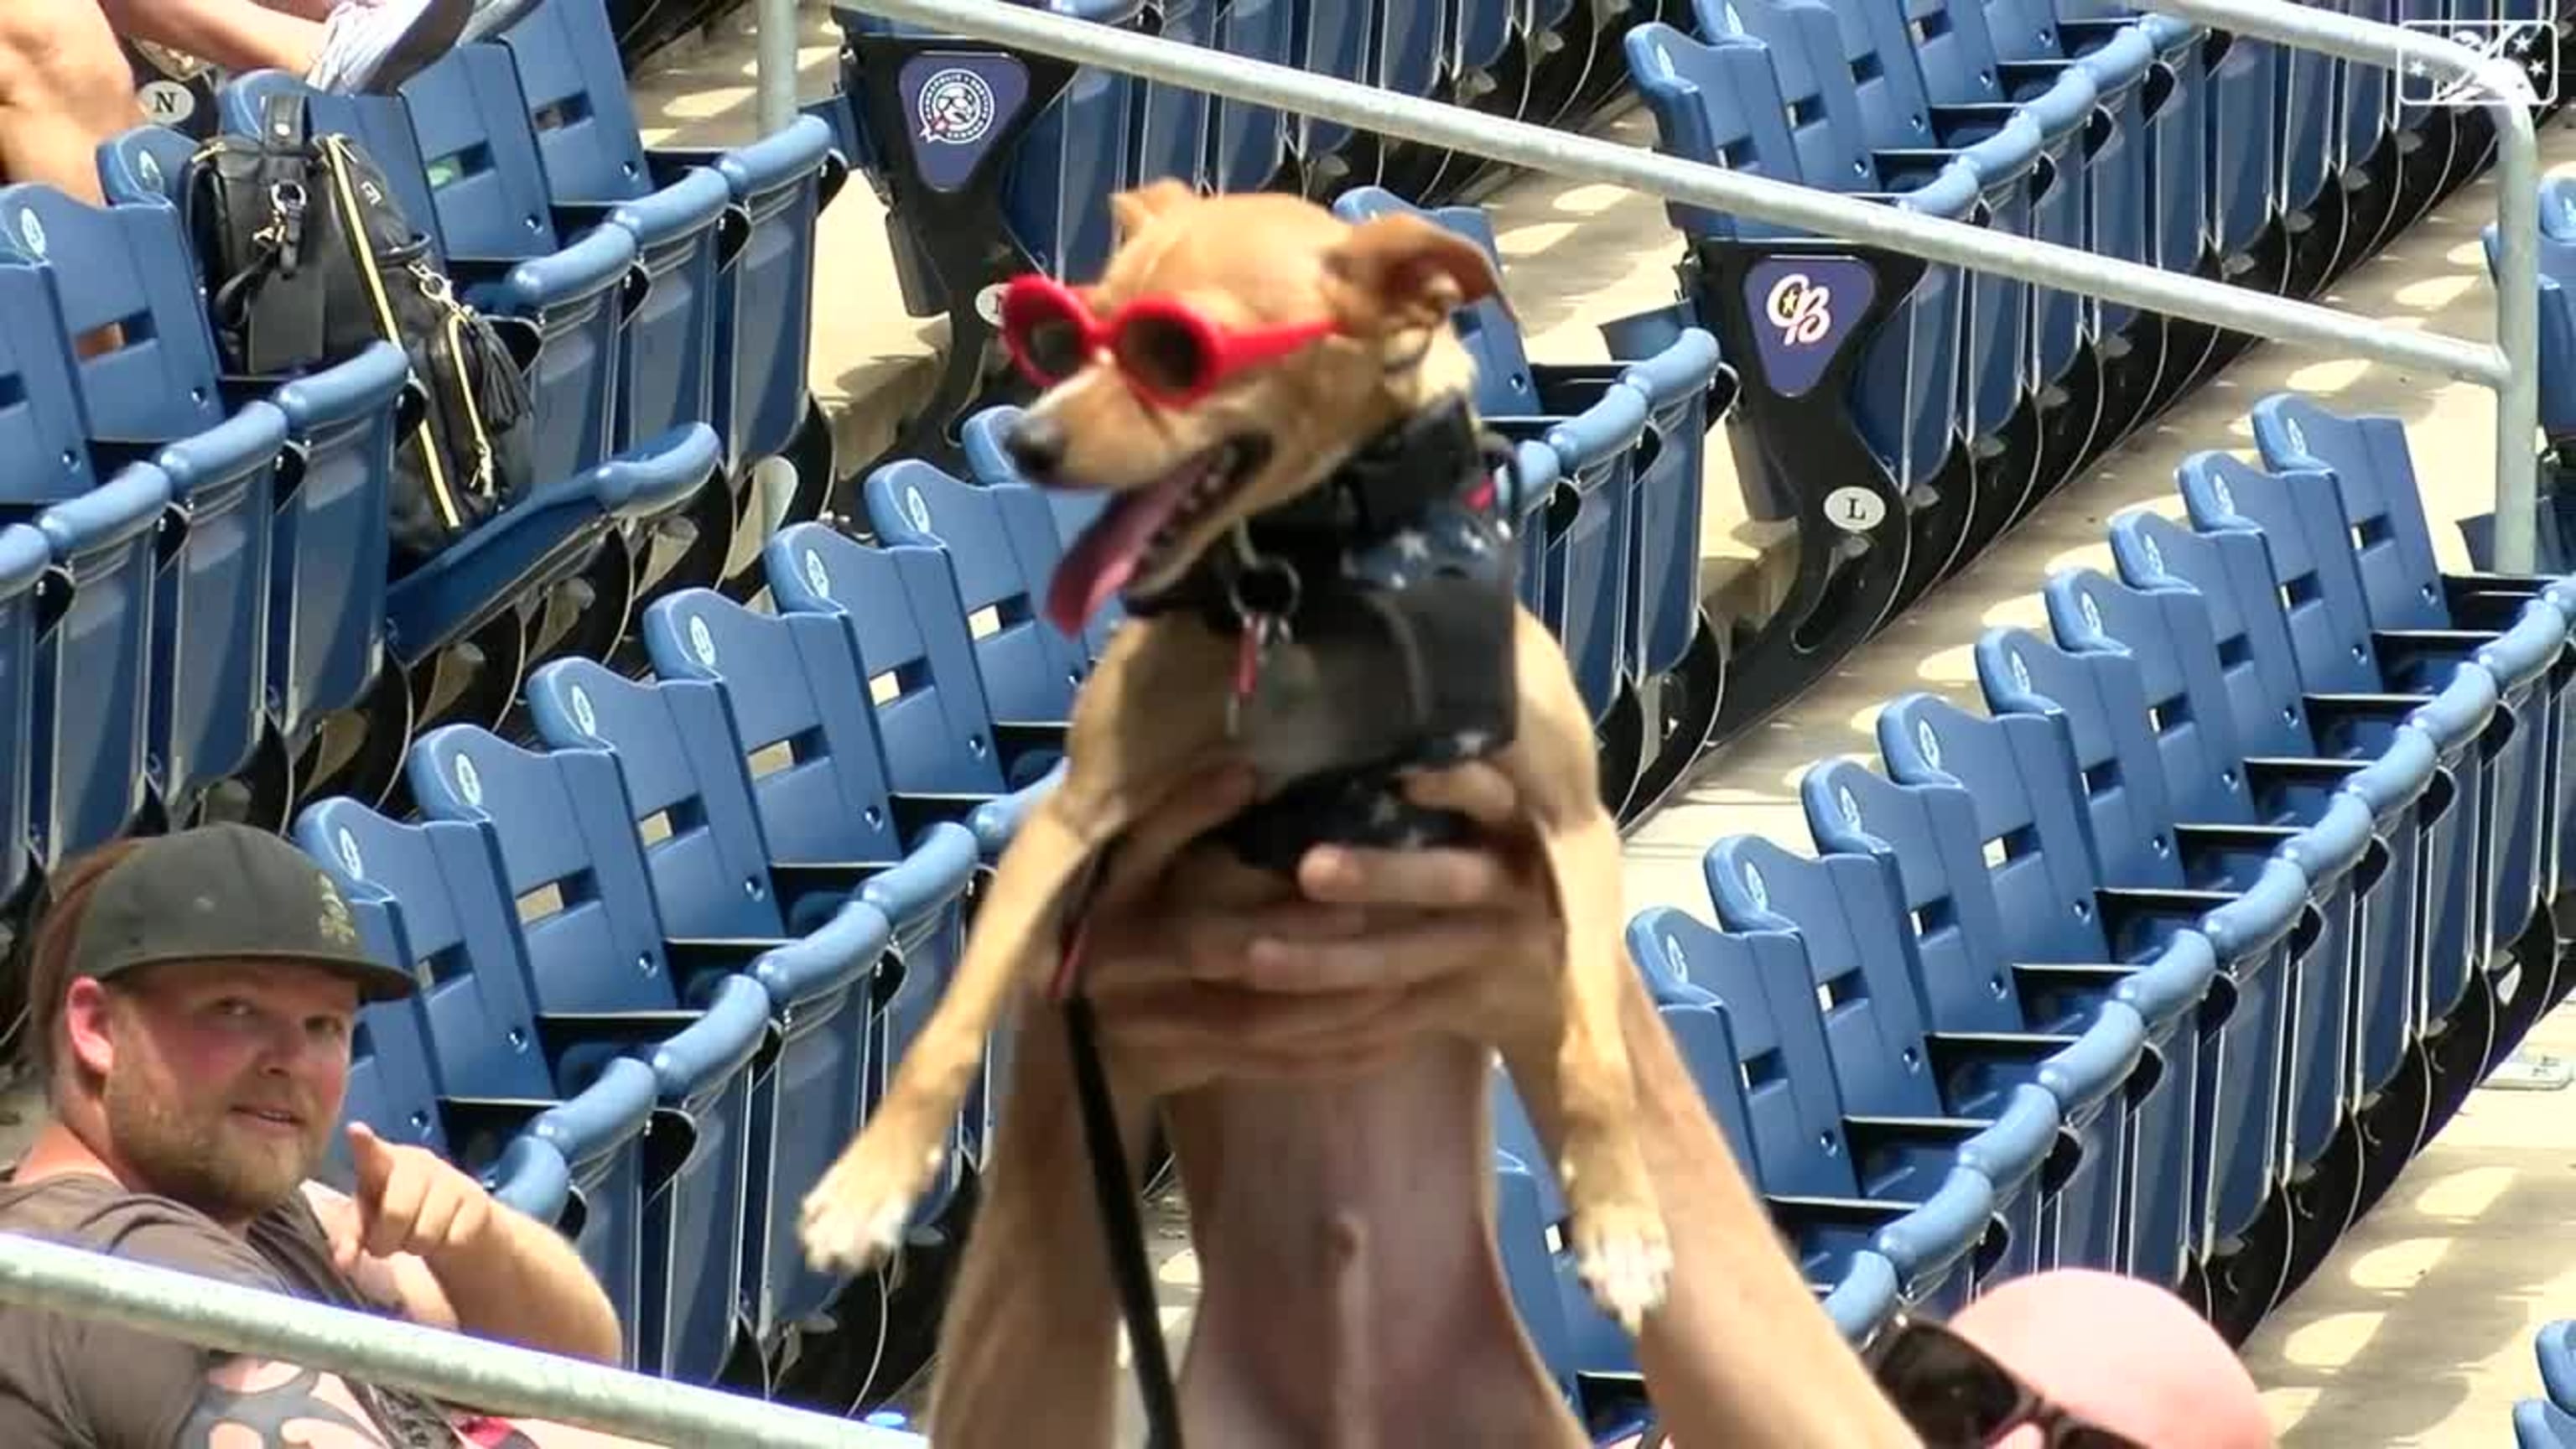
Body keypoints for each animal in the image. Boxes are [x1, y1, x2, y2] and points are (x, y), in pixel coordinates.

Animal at [793, 185, 1669, 1433]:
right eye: (1066, 335)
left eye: (1175, 352)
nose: (1027, 442)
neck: (1307, 587)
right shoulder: (1074, 823)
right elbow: (950, 1019)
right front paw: (868, 1184)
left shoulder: (1570, 828)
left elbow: (1596, 1048)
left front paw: (1621, 1219)